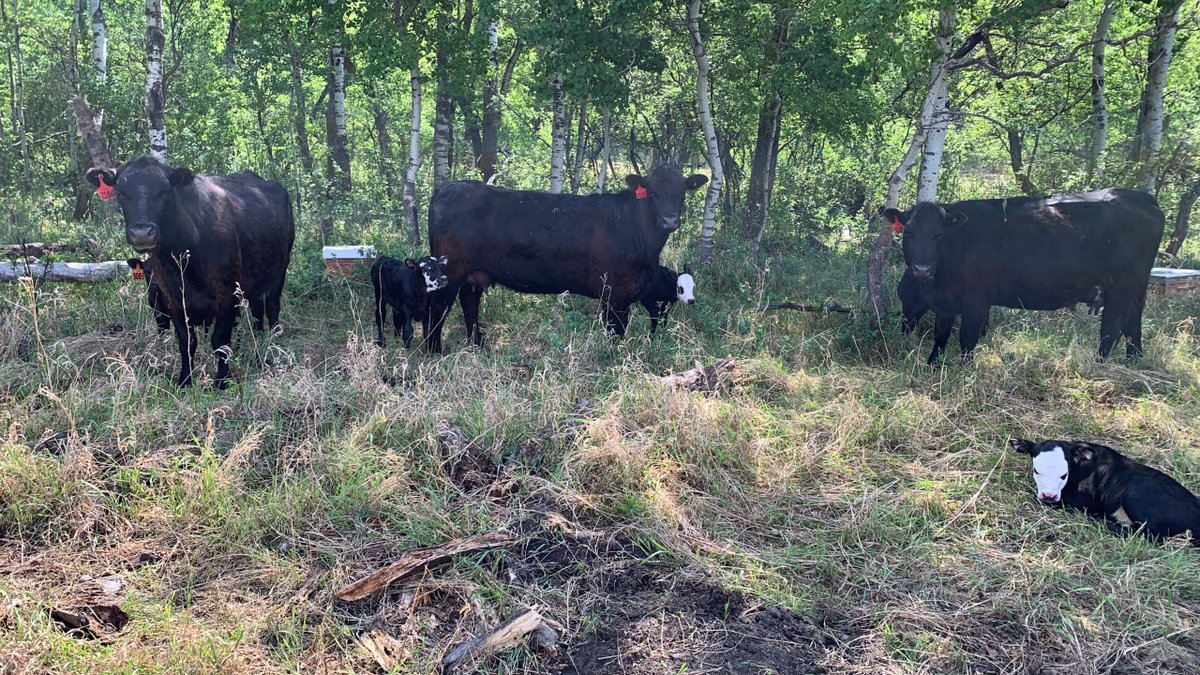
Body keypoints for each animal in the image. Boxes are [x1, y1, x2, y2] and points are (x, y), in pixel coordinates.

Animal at [87, 156, 295, 388]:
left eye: (165, 190)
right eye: (121, 191)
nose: (142, 233)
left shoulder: (227, 295)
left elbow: (220, 341)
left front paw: (221, 380)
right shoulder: (173, 300)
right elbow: (186, 341)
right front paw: (185, 379)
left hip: (279, 273)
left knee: (272, 311)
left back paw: (272, 345)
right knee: (258, 313)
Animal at [425, 166, 707, 351]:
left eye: (682, 192)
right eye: (652, 193)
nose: (669, 220)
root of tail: (448, 188)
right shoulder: (612, 291)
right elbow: (615, 329)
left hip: (473, 274)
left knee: (469, 303)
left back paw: (478, 346)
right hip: (449, 272)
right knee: (438, 306)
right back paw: (434, 350)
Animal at [882, 189, 1163, 364]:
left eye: (938, 235)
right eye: (908, 233)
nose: (921, 269)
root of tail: (1140, 196)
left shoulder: (977, 301)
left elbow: (967, 339)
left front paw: (964, 369)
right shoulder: (946, 303)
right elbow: (940, 336)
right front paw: (933, 364)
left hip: (1121, 288)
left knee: (1111, 328)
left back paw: (1099, 365)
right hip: (1136, 287)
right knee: (1133, 322)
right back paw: (1134, 360)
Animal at [1009, 438, 1200, 545]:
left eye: (1064, 474)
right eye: (1036, 471)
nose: (1049, 496)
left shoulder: (1082, 502)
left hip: (1136, 493)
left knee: (1151, 536)